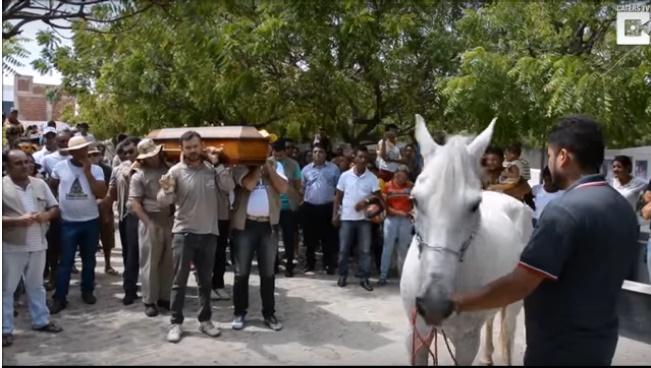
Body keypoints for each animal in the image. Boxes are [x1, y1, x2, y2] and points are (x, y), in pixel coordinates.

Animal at [402, 115, 536, 366]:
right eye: (414, 200)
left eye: (475, 205)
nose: (434, 305)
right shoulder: (416, 335)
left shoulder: (466, 342)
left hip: (515, 302)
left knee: (508, 333)